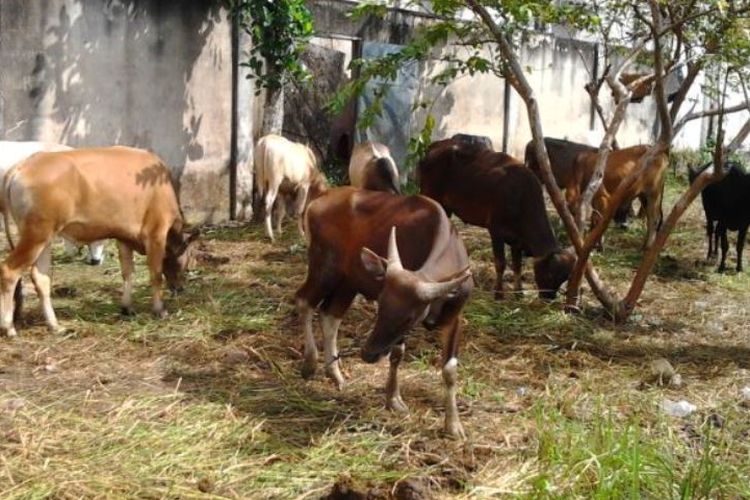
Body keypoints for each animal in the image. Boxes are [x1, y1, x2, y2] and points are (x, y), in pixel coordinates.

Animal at [0, 146, 198, 338]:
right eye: (186, 263)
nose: (180, 288)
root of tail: (21, 167)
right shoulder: (156, 233)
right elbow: (156, 275)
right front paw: (160, 310)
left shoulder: (124, 238)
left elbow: (128, 272)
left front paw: (127, 307)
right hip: (36, 236)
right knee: (9, 271)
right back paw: (9, 327)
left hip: (45, 239)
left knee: (41, 279)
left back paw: (55, 326)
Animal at [296, 188, 472, 438]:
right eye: (381, 304)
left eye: (410, 317)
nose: (368, 354)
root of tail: (320, 198)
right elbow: (397, 354)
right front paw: (394, 400)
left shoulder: (454, 318)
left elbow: (449, 369)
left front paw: (453, 425)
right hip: (324, 268)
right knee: (304, 301)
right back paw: (310, 363)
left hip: (349, 282)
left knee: (330, 315)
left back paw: (336, 375)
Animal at [418, 139, 576, 298]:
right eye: (550, 275)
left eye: (563, 279)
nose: (549, 298)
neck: (520, 196)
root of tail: (436, 145)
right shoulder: (496, 231)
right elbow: (500, 263)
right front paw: (498, 293)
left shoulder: (517, 241)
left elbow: (517, 266)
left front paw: (519, 292)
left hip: (447, 208)